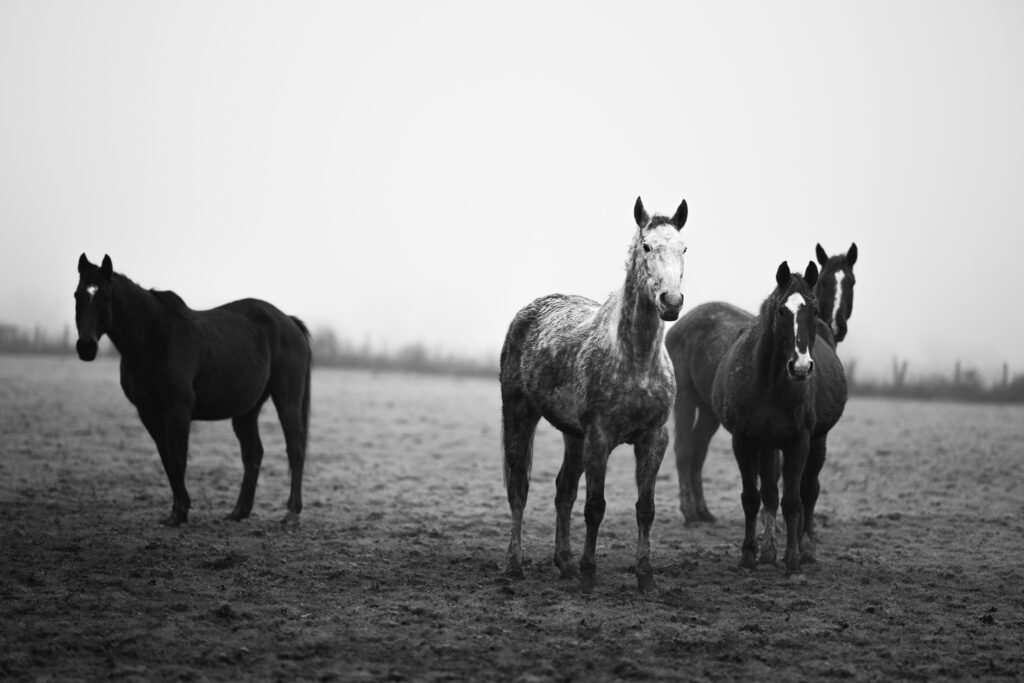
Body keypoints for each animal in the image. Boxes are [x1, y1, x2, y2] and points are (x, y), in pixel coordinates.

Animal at [74, 254, 312, 527]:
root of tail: (289, 321)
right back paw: (239, 511)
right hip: (247, 410)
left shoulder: (177, 408)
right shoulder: (148, 411)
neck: (154, 339)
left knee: (295, 449)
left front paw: (179, 512)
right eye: (77, 295)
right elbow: (167, 457)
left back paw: (291, 514)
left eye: (104, 296)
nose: (86, 347)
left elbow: (178, 458)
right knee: (253, 454)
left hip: (287, 399)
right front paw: (179, 509)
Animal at [499, 196, 688, 592]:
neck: (635, 360)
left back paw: (565, 563)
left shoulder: (653, 438)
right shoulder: (599, 438)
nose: (672, 301)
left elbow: (645, 508)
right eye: (646, 246)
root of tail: (530, 310)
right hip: (519, 414)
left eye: (684, 248)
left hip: (573, 436)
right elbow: (595, 506)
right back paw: (515, 565)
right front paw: (589, 573)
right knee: (519, 489)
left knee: (564, 491)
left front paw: (645, 576)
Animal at [667, 242, 857, 524]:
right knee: (684, 450)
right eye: (824, 282)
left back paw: (703, 511)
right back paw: (689, 512)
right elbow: (773, 478)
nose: (836, 325)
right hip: (686, 399)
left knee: (698, 451)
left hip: (709, 410)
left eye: (851, 282)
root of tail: (678, 326)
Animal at [710, 261, 847, 574]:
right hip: (767, 445)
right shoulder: (744, 441)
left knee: (808, 491)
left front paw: (793, 559)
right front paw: (749, 555)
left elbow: (794, 501)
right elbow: (753, 498)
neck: (768, 384)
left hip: (817, 441)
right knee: (770, 493)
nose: (801, 367)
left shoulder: (799, 441)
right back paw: (769, 552)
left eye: (815, 310)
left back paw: (806, 549)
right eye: (782, 311)